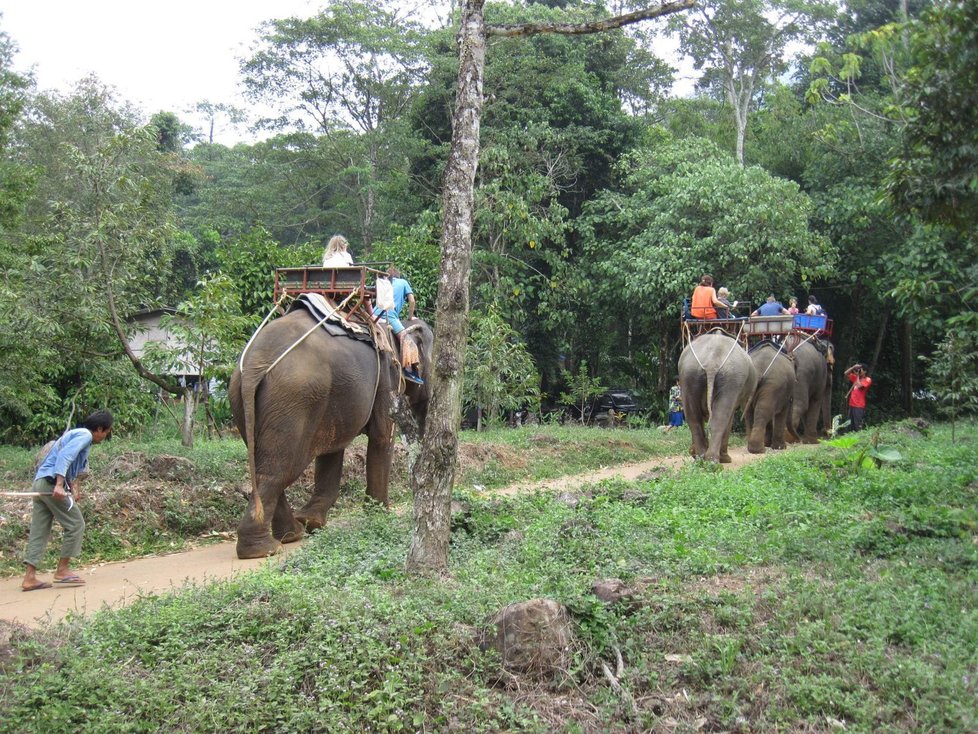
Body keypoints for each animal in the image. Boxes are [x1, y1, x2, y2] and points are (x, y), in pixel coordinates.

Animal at [229, 308, 430, 560]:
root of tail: (254, 364)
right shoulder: (388, 376)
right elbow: (382, 437)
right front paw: (380, 515)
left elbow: (333, 449)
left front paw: (313, 522)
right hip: (293, 401)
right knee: (277, 472)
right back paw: (265, 549)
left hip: (242, 400)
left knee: (264, 467)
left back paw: (291, 534)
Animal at [676, 330, 760, 462]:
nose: (691, 452)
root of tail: (712, 362)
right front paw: (726, 459)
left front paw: (694, 453)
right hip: (732, 378)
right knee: (720, 418)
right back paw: (714, 460)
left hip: (689, 374)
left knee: (693, 417)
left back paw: (702, 459)